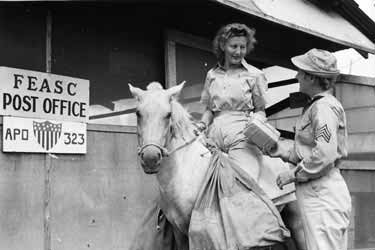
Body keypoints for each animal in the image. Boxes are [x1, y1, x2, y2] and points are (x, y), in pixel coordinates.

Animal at [129, 82, 306, 250]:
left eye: (168, 115)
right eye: (138, 113)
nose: (151, 157)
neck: (184, 173)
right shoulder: (179, 231)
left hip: (298, 221)